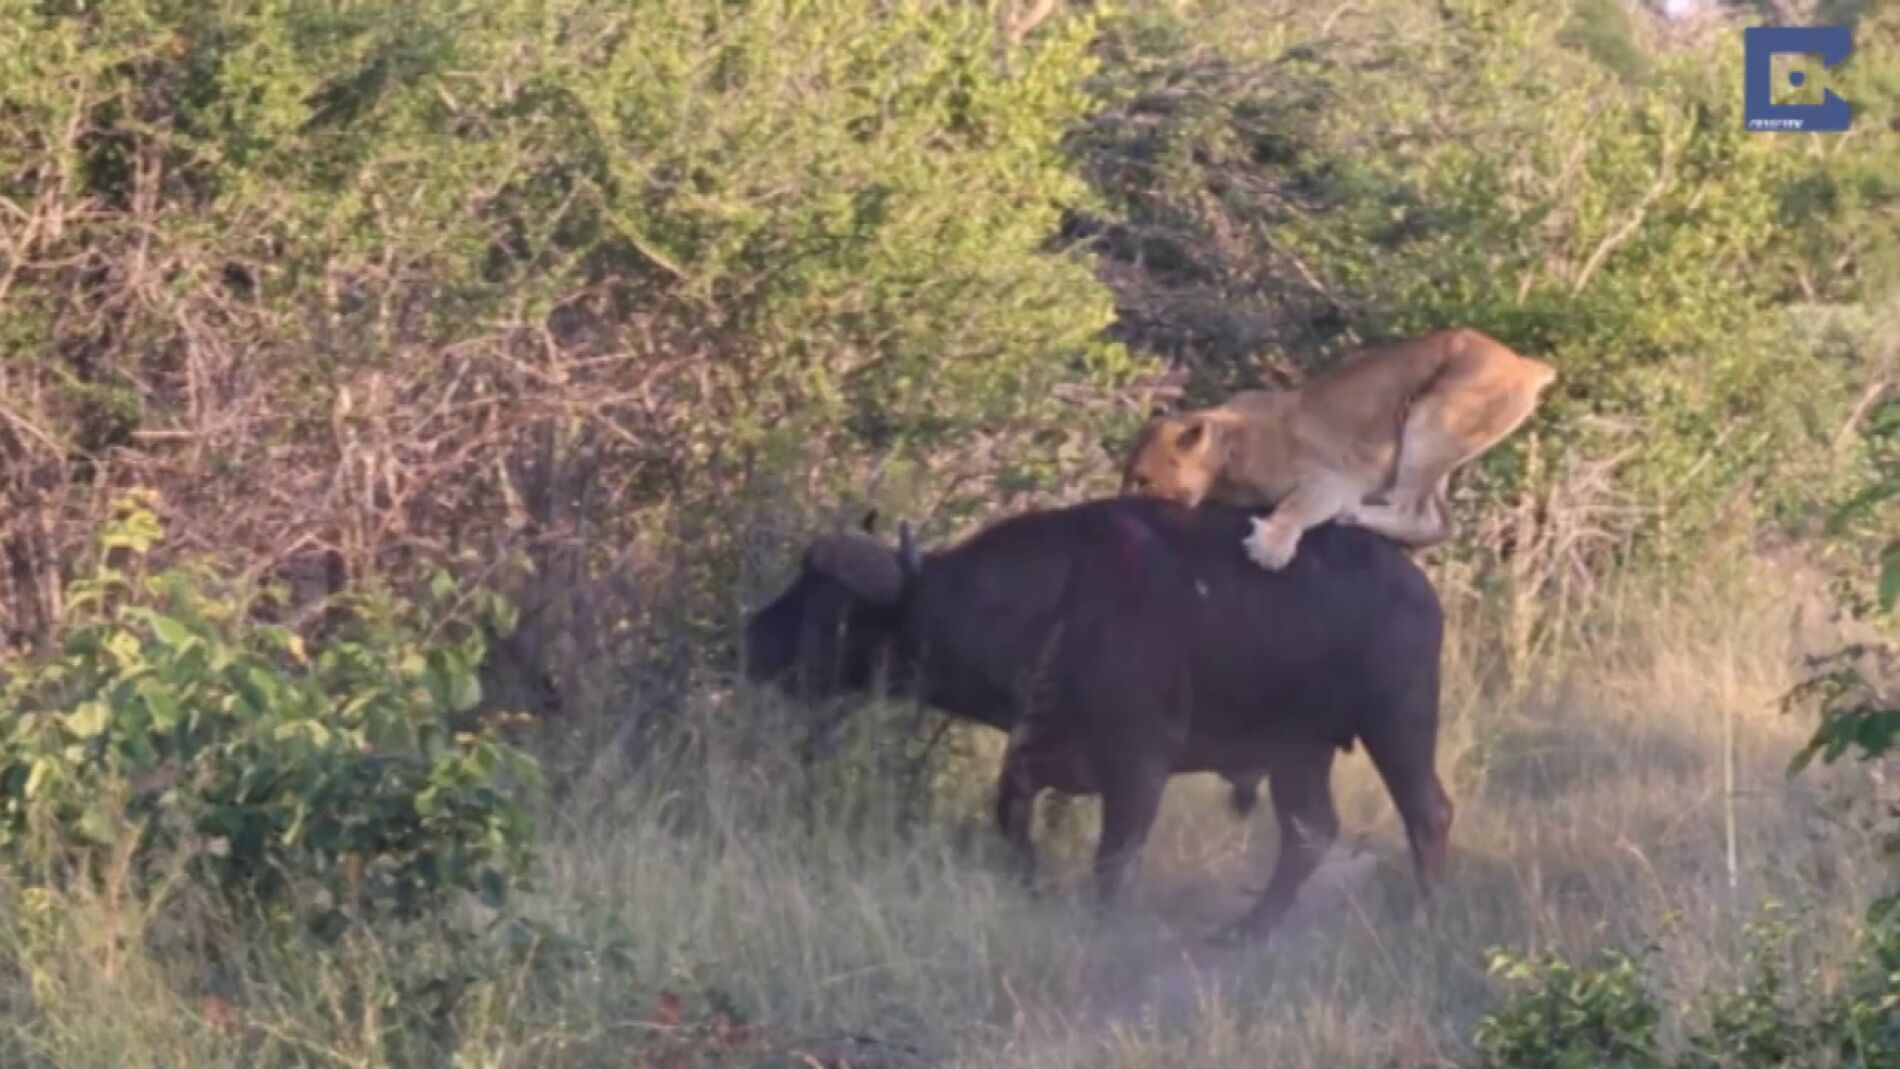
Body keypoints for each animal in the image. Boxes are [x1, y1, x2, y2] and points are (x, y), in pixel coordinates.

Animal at [1121, 328, 1556, 570]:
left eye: (1143, 480)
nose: (1124, 496)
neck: (1231, 452)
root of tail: (1527, 363)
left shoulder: (1332, 478)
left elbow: (1297, 506)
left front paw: (1270, 546)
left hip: (1432, 421)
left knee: (1416, 513)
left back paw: (1354, 515)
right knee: (1438, 523)